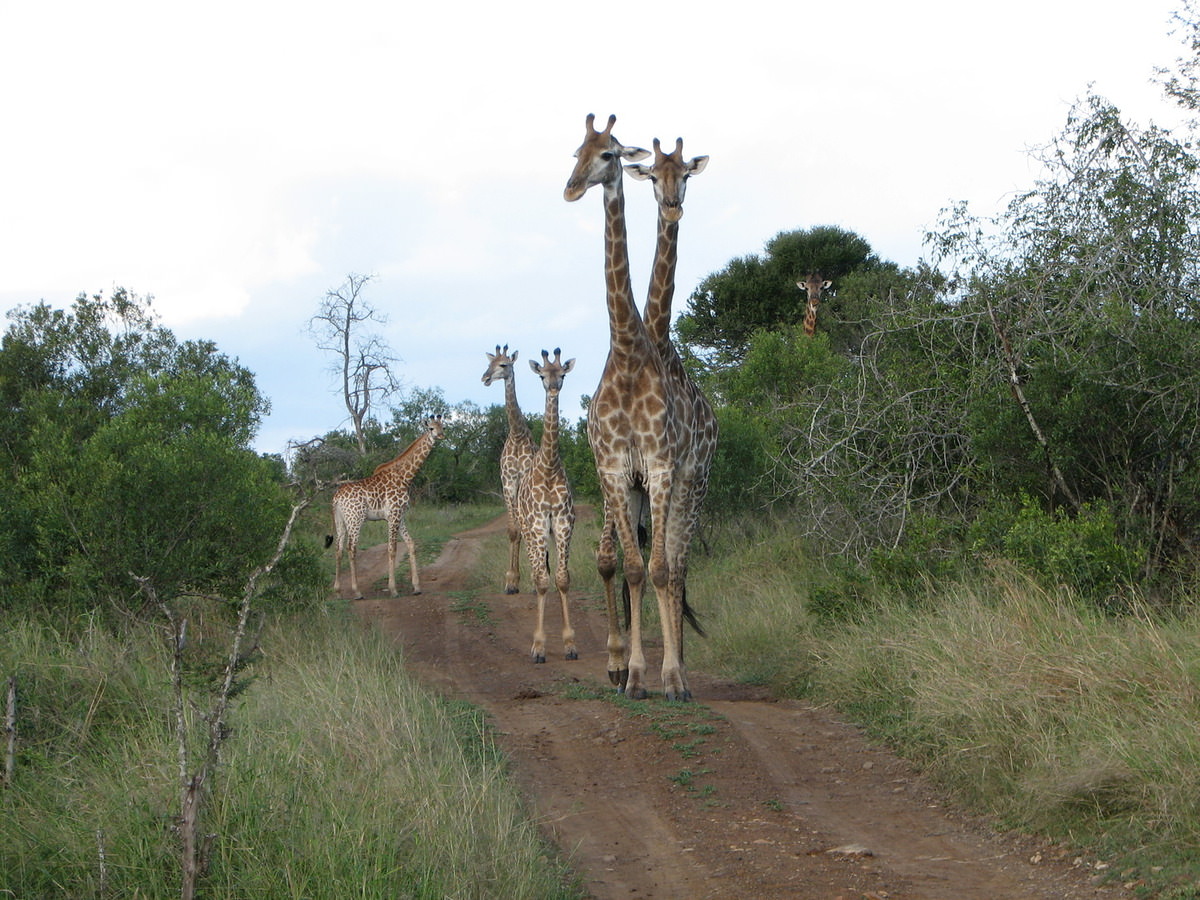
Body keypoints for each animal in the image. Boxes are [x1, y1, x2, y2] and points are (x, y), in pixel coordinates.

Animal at [328, 415, 446, 600]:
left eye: (443, 427)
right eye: (431, 428)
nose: (441, 436)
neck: (405, 477)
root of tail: (336, 498)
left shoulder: (401, 516)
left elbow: (411, 544)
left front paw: (417, 587)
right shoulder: (394, 515)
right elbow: (392, 548)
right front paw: (393, 589)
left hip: (340, 521)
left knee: (338, 549)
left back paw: (338, 592)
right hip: (355, 519)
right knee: (351, 548)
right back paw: (357, 591)